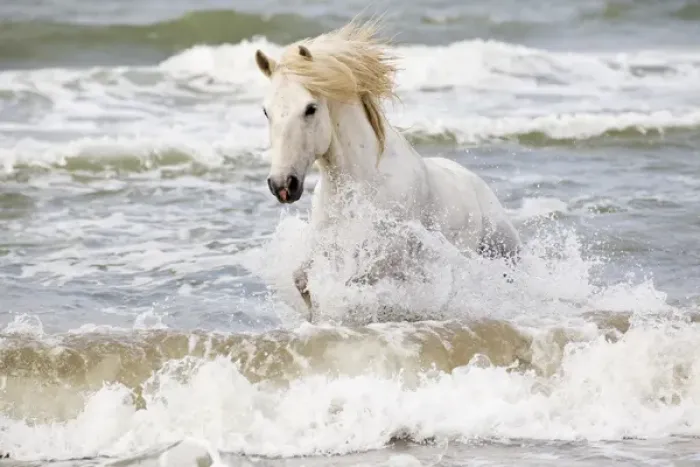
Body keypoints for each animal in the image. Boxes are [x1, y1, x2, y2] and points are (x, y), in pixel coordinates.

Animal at [254, 19, 521, 317]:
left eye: (310, 108)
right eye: (266, 111)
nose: (282, 184)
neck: (364, 182)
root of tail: (476, 183)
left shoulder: (388, 255)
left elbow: (356, 282)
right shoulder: (327, 241)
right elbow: (302, 279)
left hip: (503, 251)